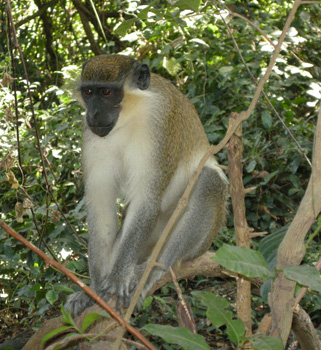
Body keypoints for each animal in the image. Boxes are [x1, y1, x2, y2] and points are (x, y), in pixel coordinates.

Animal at [65, 54, 228, 314]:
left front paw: (118, 278)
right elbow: (101, 206)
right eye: (89, 92)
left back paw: (152, 269)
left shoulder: (161, 122)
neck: (130, 116)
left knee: (209, 181)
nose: (94, 113)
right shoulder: (91, 134)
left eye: (107, 93)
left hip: (199, 243)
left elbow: (147, 200)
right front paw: (94, 291)